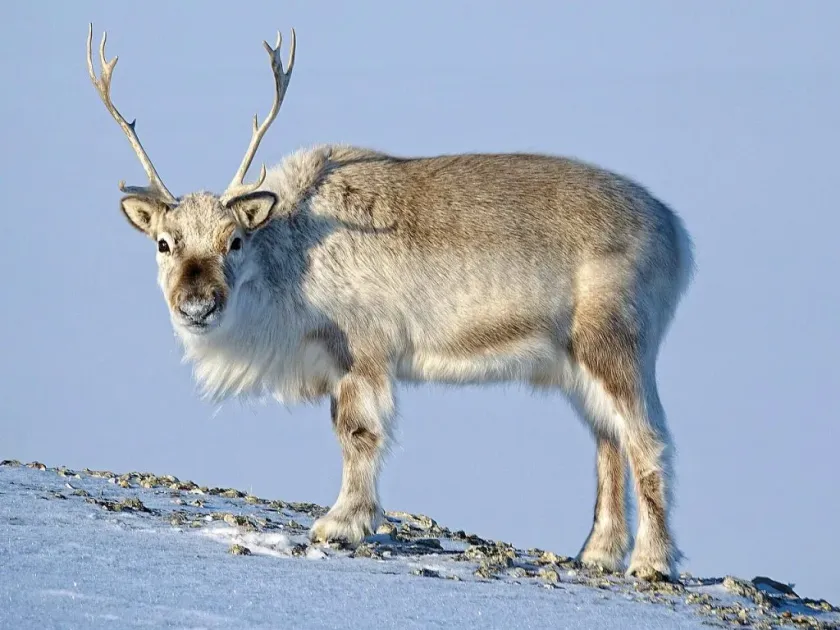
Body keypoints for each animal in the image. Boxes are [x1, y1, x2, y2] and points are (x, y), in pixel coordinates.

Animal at [86, 23, 695, 582]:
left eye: (233, 240)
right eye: (163, 243)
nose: (196, 305)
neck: (291, 255)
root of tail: (676, 232)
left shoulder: (363, 350)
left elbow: (358, 434)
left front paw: (342, 523)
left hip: (615, 341)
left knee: (648, 439)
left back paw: (651, 562)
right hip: (572, 364)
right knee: (607, 442)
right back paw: (598, 553)